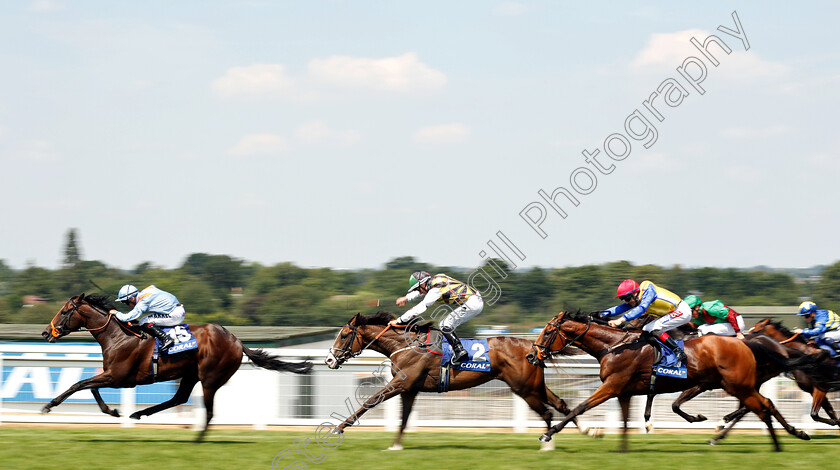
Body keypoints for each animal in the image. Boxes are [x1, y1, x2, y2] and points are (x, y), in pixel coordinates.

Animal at [41, 294, 312, 440]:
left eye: (64, 311)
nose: (46, 332)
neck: (118, 336)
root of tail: (237, 341)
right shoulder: (112, 376)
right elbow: (89, 387)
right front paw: (113, 411)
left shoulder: (118, 378)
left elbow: (79, 384)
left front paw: (49, 405)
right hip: (191, 374)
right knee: (179, 398)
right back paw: (139, 413)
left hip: (210, 378)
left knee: (205, 409)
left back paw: (195, 438)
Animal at [324, 312, 588, 448]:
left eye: (344, 335)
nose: (329, 359)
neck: (406, 344)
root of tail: (535, 348)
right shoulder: (410, 388)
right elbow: (405, 418)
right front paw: (396, 445)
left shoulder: (400, 383)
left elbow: (369, 402)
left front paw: (339, 427)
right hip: (534, 385)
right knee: (560, 403)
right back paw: (584, 429)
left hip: (524, 388)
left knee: (547, 412)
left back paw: (547, 443)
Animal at [524, 310, 820, 450]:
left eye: (548, 332)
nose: (531, 355)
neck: (614, 345)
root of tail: (747, 343)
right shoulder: (626, 390)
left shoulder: (612, 386)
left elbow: (579, 407)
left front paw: (548, 433)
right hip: (740, 385)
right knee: (765, 403)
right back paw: (795, 433)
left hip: (738, 385)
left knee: (761, 406)